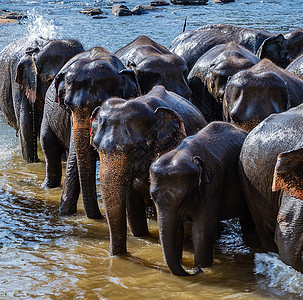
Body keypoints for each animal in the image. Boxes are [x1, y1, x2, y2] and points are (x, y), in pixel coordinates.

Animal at [40, 47, 142, 220]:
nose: (101, 216)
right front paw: (66, 212)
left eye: (100, 103)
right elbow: (75, 158)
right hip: (48, 115)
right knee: (49, 146)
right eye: (67, 105)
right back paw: (47, 187)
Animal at [151, 120, 253, 276]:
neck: (185, 153)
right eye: (152, 196)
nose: (194, 270)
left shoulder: (212, 185)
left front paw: (204, 267)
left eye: (184, 197)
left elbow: (201, 232)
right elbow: (177, 229)